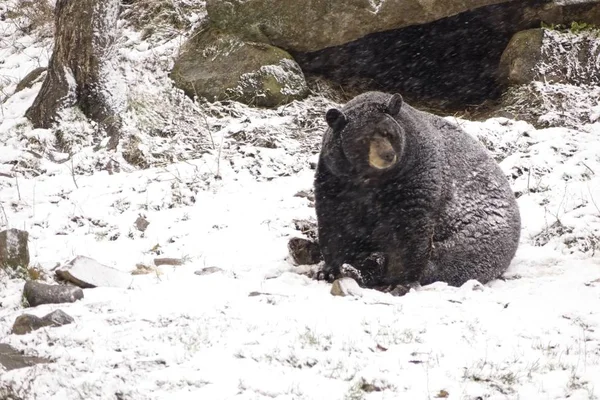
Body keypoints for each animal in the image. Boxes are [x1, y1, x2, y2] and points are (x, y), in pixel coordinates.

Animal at [314, 92, 520, 290]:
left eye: (388, 133)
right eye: (363, 139)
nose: (387, 155)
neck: (373, 179)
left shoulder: (413, 178)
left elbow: (408, 229)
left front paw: (398, 281)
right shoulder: (336, 178)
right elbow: (334, 221)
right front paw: (329, 270)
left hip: (479, 232)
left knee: (454, 259)